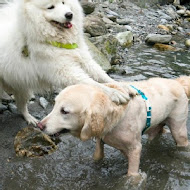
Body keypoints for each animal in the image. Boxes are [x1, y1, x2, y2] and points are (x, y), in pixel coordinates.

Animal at [0, 0, 132, 124]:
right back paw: (30, 119)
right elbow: (93, 83)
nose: (69, 15)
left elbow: (103, 76)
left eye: (63, 2)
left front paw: (124, 86)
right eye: (50, 7)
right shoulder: (66, 72)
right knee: (21, 106)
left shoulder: (84, 59)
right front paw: (114, 93)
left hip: (20, 84)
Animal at [38, 76, 190, 177]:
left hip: (178, 128)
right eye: (55, 104)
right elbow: (97, 156)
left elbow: (132, 173)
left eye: (64, 111)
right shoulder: (101, 138)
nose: (40, 125)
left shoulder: (135, 148)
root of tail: (178, 82)